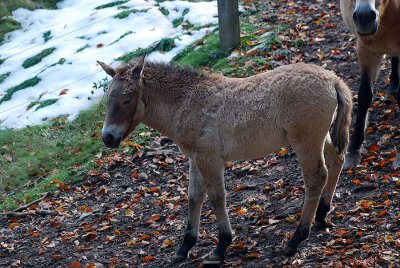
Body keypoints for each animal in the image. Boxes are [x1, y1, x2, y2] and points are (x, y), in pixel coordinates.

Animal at [98, 57, 352, 262]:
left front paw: (221, 245)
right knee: (336, 159)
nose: (108, 137)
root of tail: (333, 80)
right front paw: (185, 246)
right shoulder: (196, 158)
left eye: (127, 100)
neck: (187, 102)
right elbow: (194, 197)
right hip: (320, 136)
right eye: (108, 100)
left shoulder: (209, 159)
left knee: (316, 178)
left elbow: (216, 197)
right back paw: (322, 214)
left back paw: (296, 238)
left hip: (306, 141)